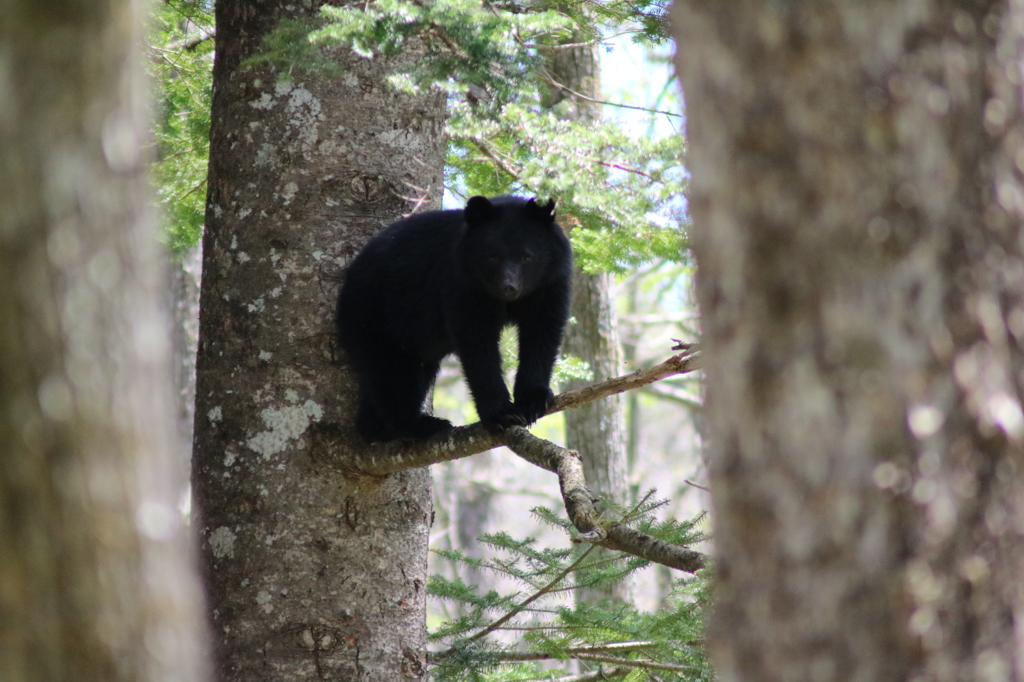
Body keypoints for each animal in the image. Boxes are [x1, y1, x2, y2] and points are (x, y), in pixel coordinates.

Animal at [337, 195, 573, 440]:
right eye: (492, 256)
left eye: (527, 257)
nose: (509, 287)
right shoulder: (462, 284)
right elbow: (477, 343)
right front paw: (502, 414)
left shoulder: (549, 283)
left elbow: (542, 331)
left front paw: (534, 401)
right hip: (372, 319)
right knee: (391, 376)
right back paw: (418, 425)